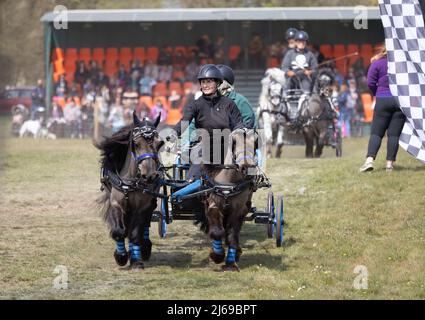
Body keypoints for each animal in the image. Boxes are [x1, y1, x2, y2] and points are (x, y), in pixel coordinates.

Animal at [96, 112, 164, 268]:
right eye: (136, 144)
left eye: (159, 144)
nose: (150, 175)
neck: (131, 182)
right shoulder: (116, 203)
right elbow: (120, 231)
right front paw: (121, 256)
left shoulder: (142, 207)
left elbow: (135, 234)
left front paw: (135, 259)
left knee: (143, 225)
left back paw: (144, 248)